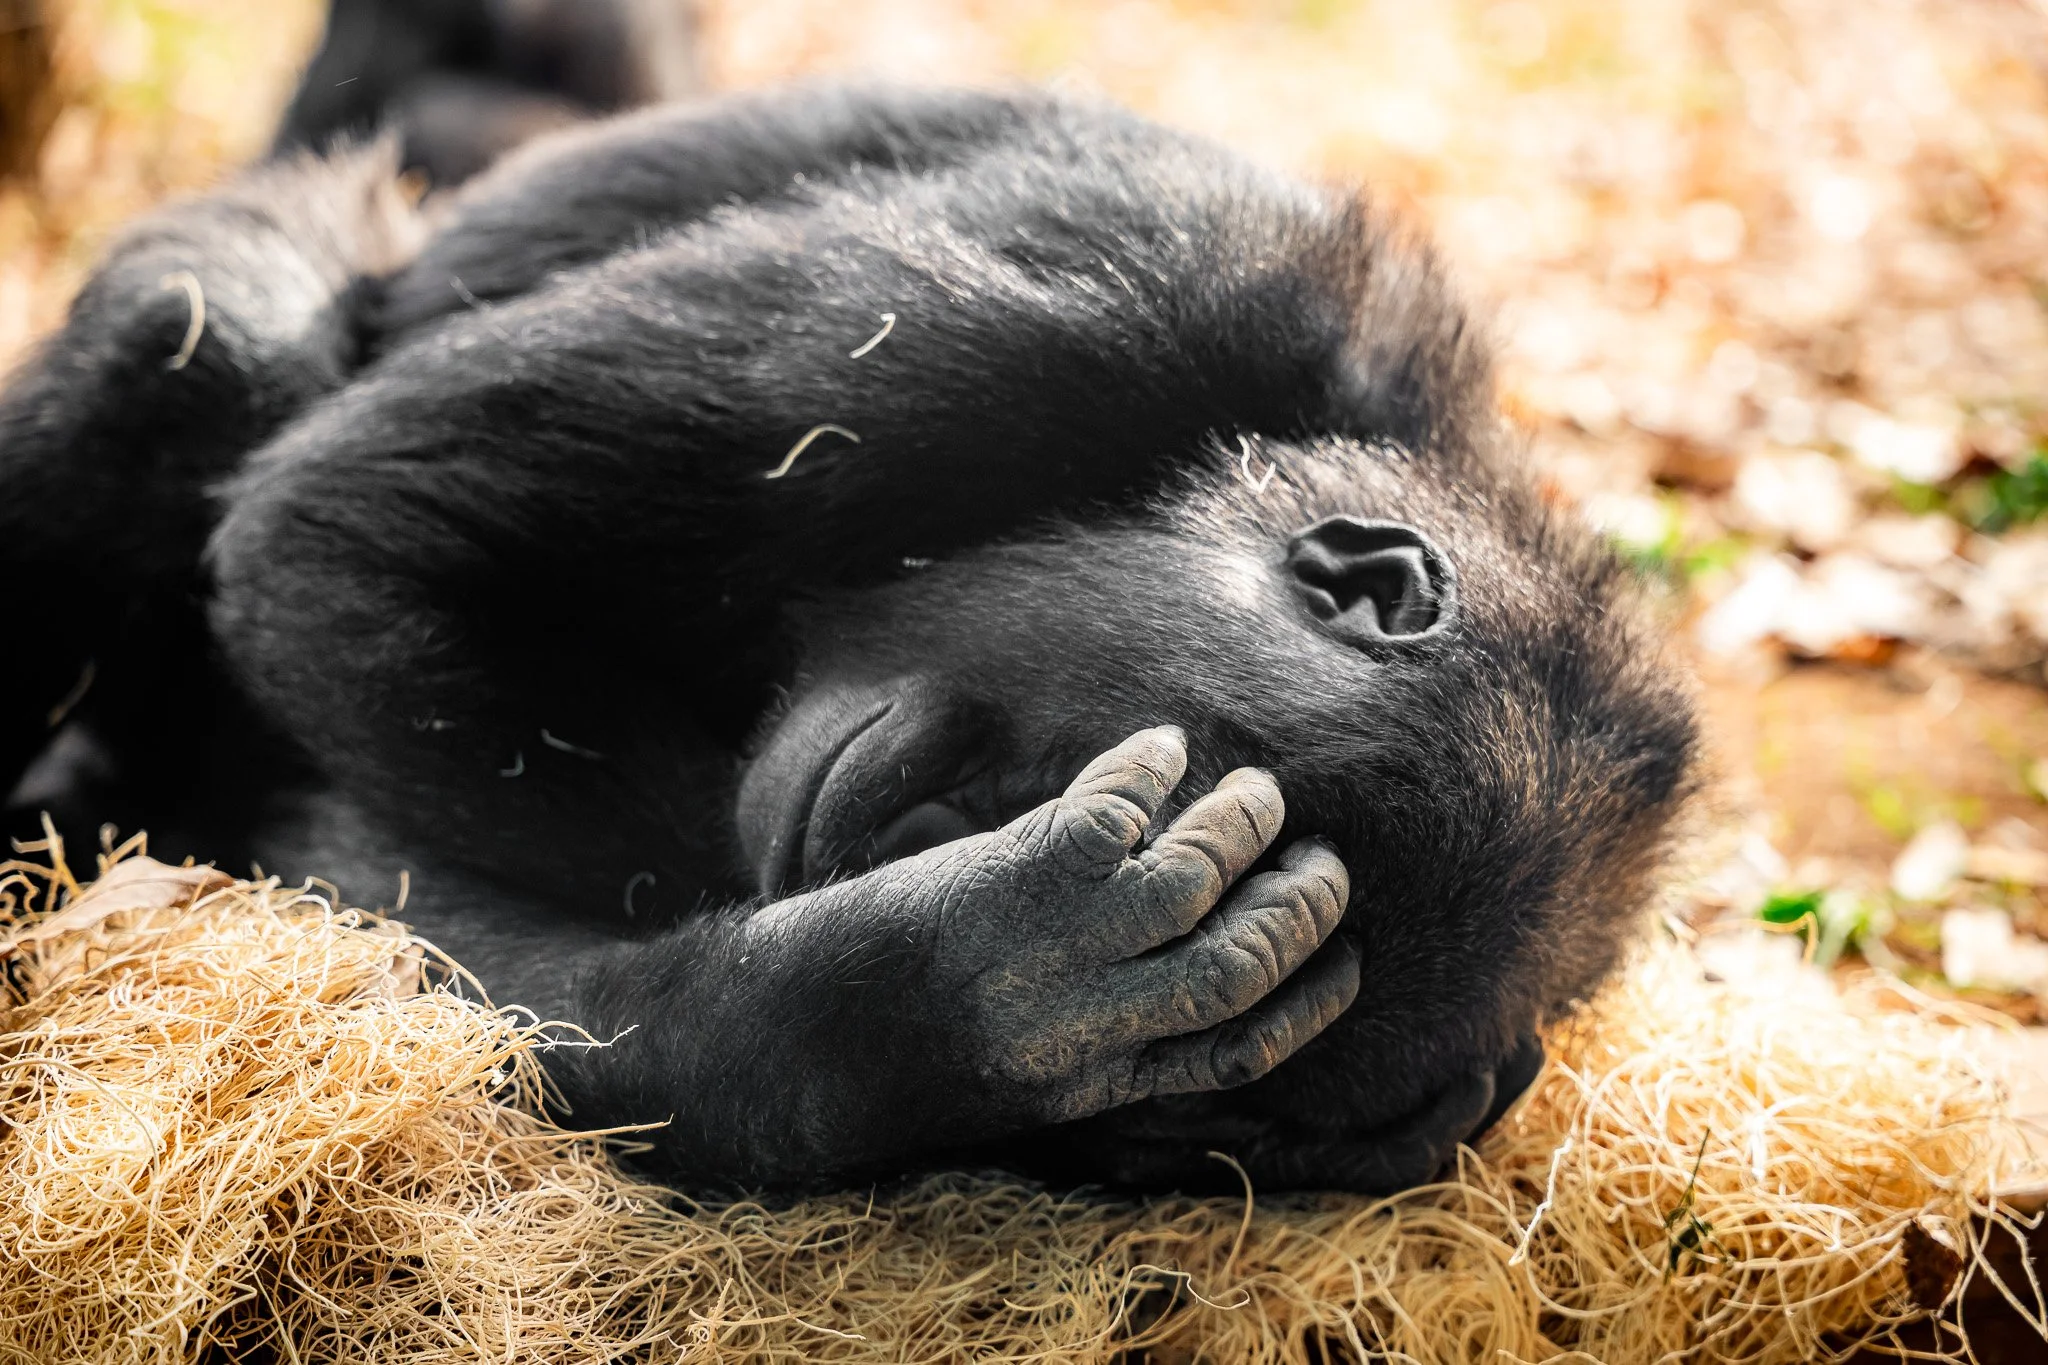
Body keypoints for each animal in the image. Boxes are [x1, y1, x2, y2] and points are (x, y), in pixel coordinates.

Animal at [0, 83, 1697, 1193]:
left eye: (1133, 1110)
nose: (912, 839)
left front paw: (908, 1015)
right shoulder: (1113, 296)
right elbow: (352, 530)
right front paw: (965, 977)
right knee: (220, 333)